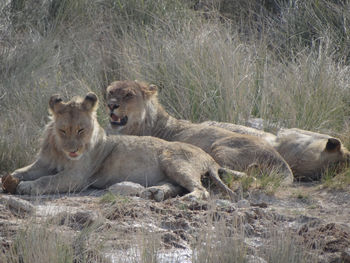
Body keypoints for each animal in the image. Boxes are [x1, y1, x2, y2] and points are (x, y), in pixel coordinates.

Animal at [1, 92, 237, 201]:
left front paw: (26, 187)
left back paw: (187, 199)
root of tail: (211, 159)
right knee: (175, 185)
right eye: (63, 130)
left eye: (81, 130)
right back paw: (154, 193)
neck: (60, 151)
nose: (74, 150)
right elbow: (22, 171)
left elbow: (49, 180)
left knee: (201, 190)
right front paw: (10, 179)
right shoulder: (42, 164)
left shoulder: (77, 177)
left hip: (172, 159)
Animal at [105, 80, 294, 186]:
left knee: (229, 171)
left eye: (128, 95)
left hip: (220, 146)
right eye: (111, 92)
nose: (111, 105)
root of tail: (282, 162)